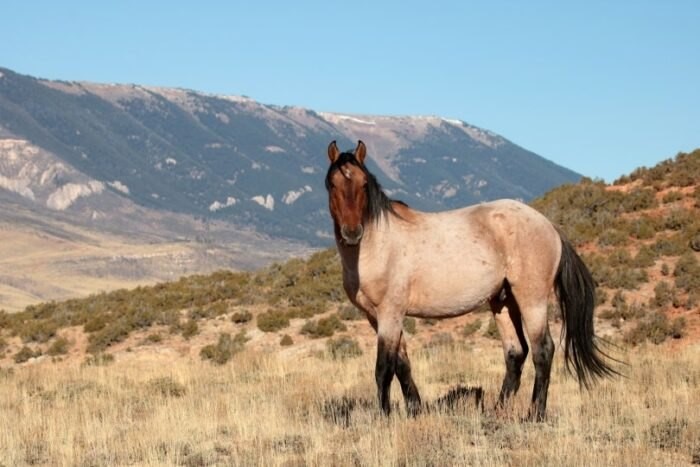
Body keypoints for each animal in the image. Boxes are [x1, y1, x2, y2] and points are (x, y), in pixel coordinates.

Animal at [326, 139, 616, 420]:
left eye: (364, 184)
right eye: (332, 184)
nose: (352, 233)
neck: (379, 245)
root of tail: (550, 226)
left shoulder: (390, 313)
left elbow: (384, 369)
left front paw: (385, 417)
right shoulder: (376, 317)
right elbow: (402, 364)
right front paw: (415, 410)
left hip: (531, 300)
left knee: (542, 350)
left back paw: (535, 415)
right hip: (503, 302)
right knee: (515, 353)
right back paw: (497, 412)